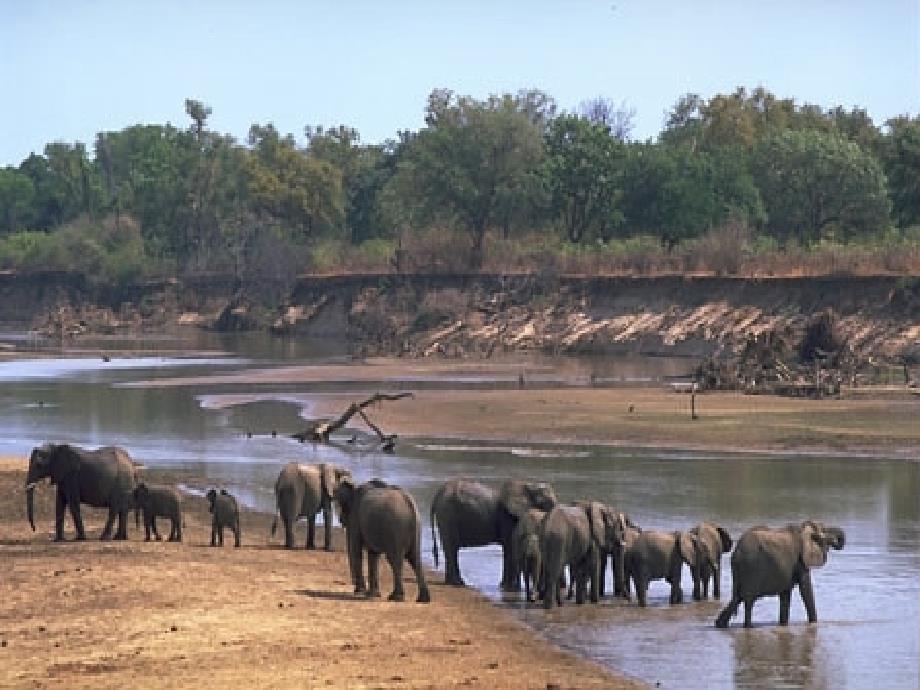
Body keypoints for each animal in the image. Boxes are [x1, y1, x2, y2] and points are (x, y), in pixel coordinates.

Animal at [716, 520, 844, 628]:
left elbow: (785, 595)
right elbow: (805, 589)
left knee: (737, 598)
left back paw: (720, 624)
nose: (837, 541)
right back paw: (749, 626)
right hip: (751, 567)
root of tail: (736, 553)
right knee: (748, 600)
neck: (804, 529)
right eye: (825, 530)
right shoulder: (800, 560)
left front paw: (783, 625)